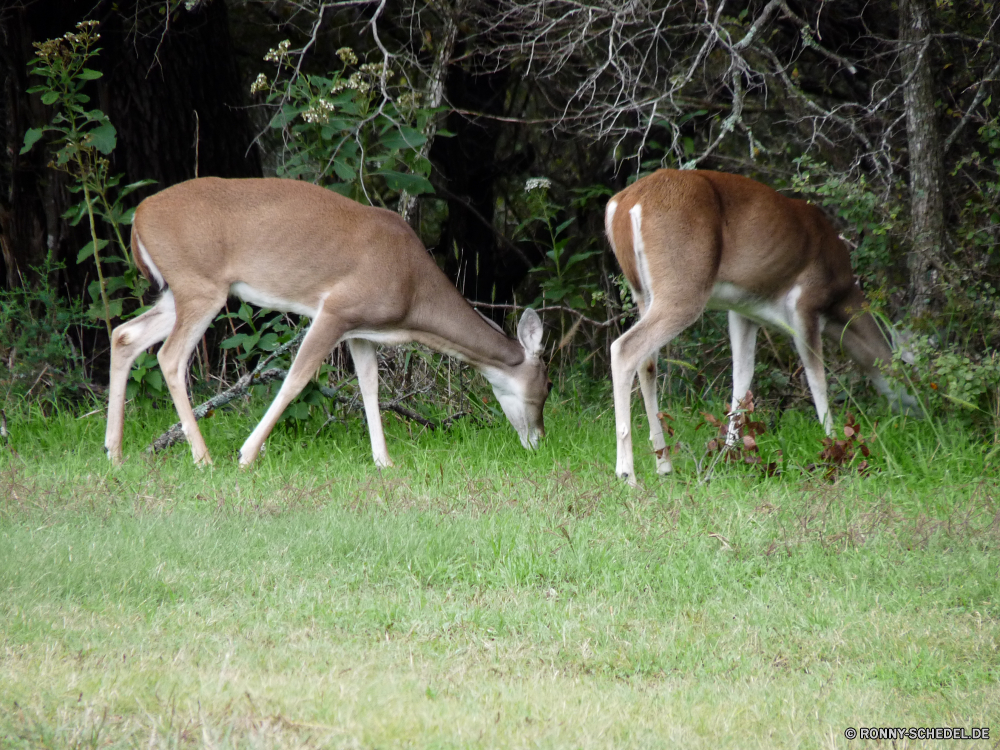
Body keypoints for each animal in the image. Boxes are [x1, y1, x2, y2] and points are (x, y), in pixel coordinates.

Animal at [107, 178, 556, 468]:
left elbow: (370, 387)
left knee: (124, 334)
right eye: (548, 385)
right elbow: (296, 378)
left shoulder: (360, 328)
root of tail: (138, 218)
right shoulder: (336, 309)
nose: (539, 439)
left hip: (176, 291)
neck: (413, 296)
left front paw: (384, 461)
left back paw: (115, 453)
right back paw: (203, 458)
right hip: (200, 284)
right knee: (169, 356)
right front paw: (247, 454)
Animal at [604, 170, 916, 484]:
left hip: (643, 294)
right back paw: (627, 473)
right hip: (683, 285)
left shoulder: (744, 311)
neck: (840, 298)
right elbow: (817, 378)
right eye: (910, 368)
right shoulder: (805, 302)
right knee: (623, 348)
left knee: (648, 364)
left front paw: (729, 453)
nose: (921, 409)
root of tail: (624, 203)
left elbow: (742, 378)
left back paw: (664, 464)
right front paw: (833, 443)